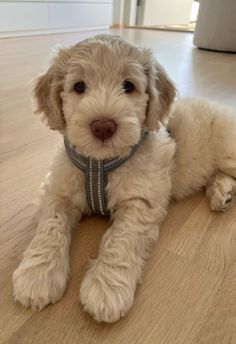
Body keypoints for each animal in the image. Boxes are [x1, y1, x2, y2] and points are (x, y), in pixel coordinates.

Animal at [12, 35, 236, 322]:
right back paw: (221, 193)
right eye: (79, 86)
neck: (99, 163)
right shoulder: (58, 190)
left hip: (228, 150)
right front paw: (37, 273)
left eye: (129, 86)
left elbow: (122, 238)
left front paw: (106, 288)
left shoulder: (141, 200)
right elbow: (51, 226)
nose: (103, 126)